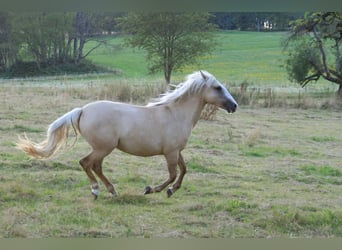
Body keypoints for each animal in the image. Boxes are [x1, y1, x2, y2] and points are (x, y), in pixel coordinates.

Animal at [16, 70, 238, 199]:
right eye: (217, 87)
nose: (234, 106)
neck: (176, 113)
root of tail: (83, 110)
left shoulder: (176, 151)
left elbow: (183, 171)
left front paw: (171, 190)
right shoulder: (170, 152)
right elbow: (173, 174)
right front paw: (152, 189)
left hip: (103, 148)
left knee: (94, 166)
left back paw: (110, 190)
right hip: (104, 147)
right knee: (87, 163)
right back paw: (99, 190)